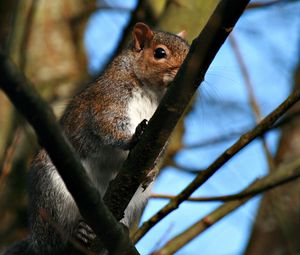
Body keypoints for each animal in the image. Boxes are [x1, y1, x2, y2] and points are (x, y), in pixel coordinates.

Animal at [4, 22, 189, 254]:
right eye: (160, 53)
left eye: (189, 50)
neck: (153, 92)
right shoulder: (108, 98)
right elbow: (106, 123)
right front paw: (132, 138)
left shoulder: (168, 122)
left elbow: (161, 147)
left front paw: (151, 170)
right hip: (51, 195)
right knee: (54, 239)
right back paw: (76, 233)